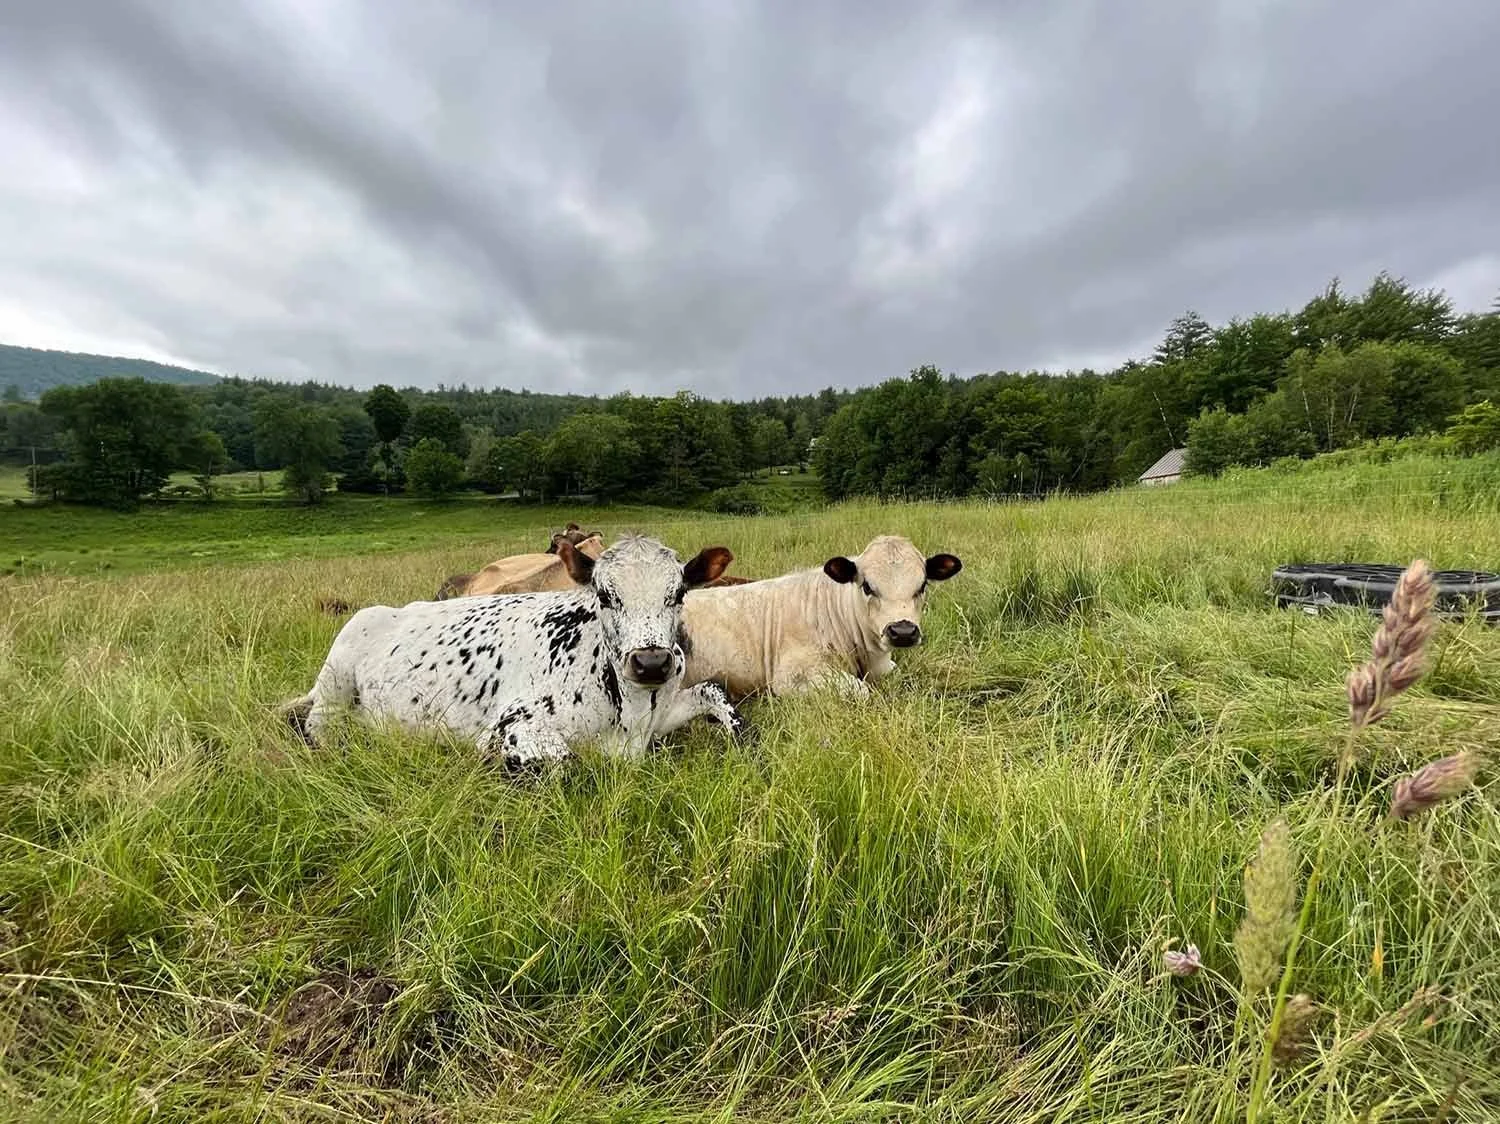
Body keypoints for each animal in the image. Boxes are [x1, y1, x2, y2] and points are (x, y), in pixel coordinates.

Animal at [283, 534, 748, 767]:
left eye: (679, 593)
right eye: (603, 594)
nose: (651, 662)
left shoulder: (663, 710)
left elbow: (716, 694)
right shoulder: (509, 726)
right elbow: (562, 760)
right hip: (334, 687)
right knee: (317, 728)